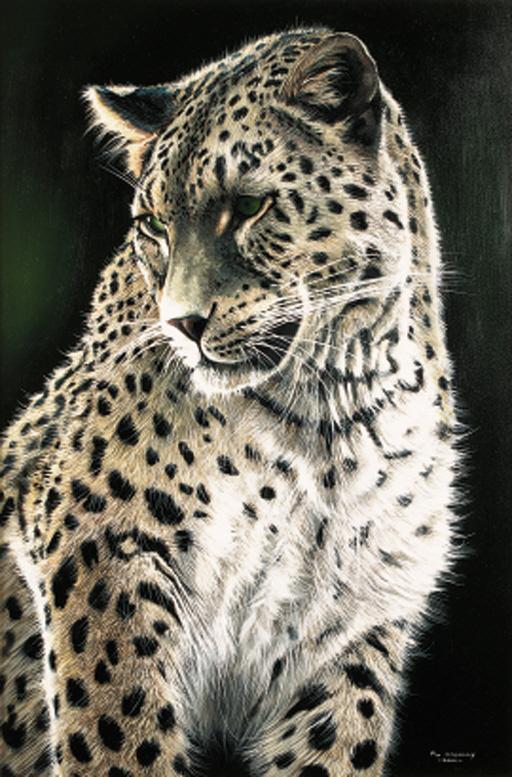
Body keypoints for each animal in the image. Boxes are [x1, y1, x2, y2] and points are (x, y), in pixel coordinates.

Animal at [0, 27, 460, 777]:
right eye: (153, 224)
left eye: (248, 207)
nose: (184, 321)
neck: (329, 417)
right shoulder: (102, 545)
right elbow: (118, 726)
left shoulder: (359, 616)